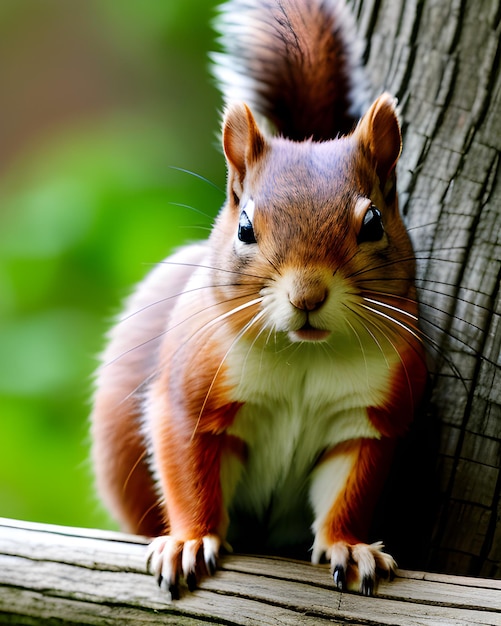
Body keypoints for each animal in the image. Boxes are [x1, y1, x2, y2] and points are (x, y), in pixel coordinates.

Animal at [91, 0, 426, 596]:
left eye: (373, 223)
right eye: (244, 227)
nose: (308, 296)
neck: (304, 355)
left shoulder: (367, 419)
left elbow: (349, 492)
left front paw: (349, 546)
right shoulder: (191, 399)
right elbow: (188, 474)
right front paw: (190, 540)